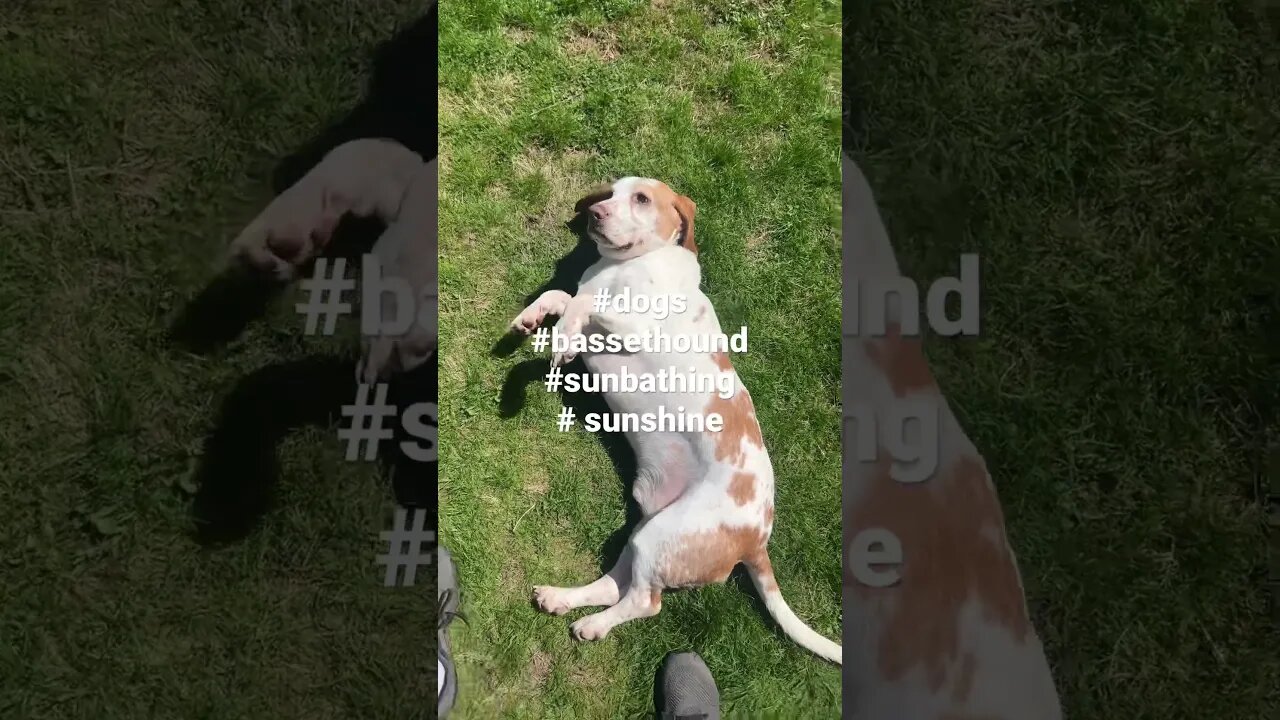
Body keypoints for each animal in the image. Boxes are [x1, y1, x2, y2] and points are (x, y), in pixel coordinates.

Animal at [504, 175, 844, 661]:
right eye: (607, 192)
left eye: (641, 198)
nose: (595, 214)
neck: (627, 265)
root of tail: (757, 540)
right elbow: (562, 294)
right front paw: (531, 318)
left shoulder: (632, 325)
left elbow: (581, 301)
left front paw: (561, 337)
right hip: (646, 534)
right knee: (615, 584)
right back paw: (561, 598)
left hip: (662, 535)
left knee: (646, 602)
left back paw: (592, 625)